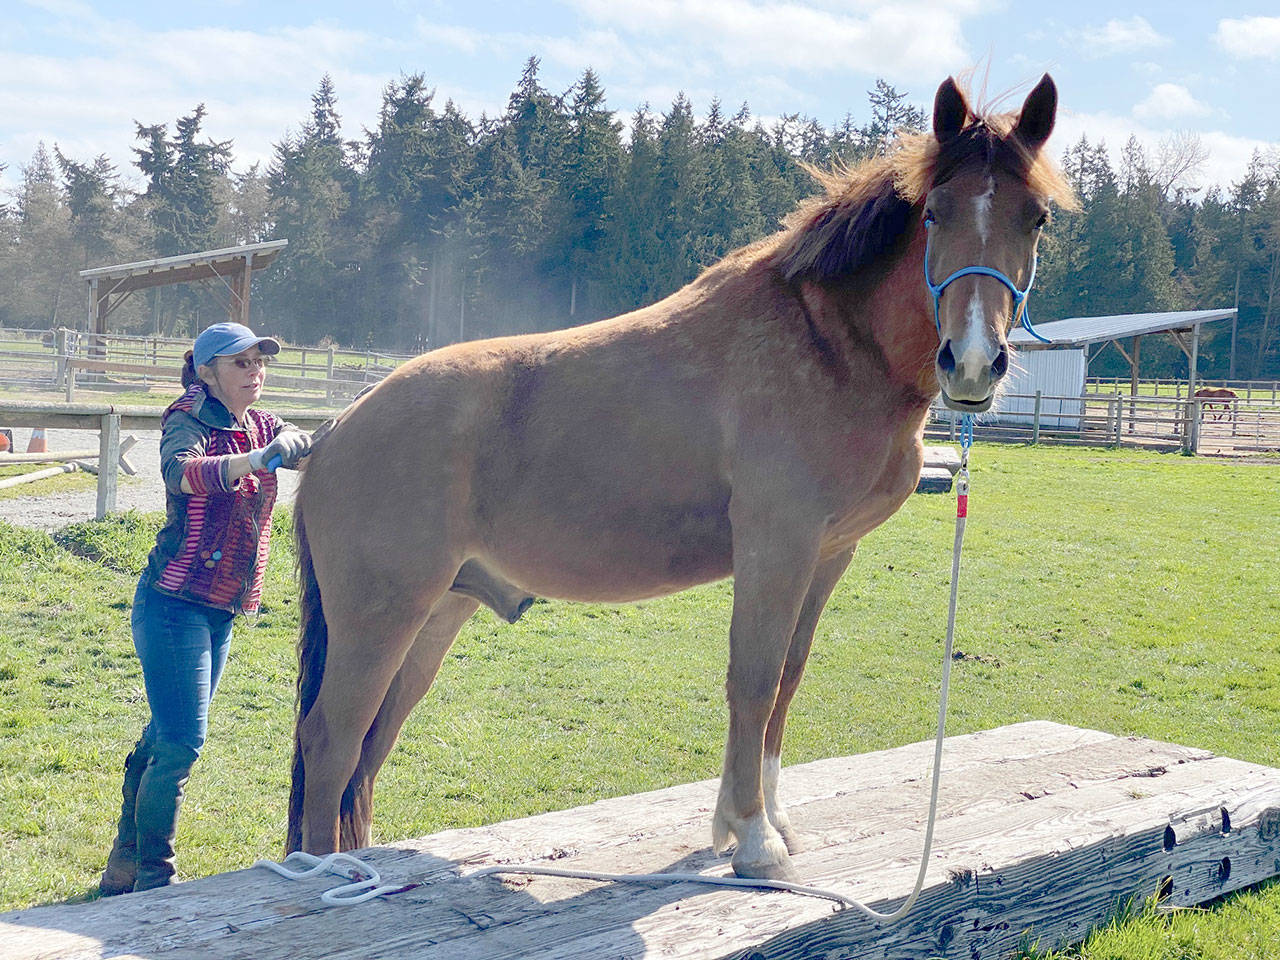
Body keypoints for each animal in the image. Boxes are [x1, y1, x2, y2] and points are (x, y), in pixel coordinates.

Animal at [286, 74, 1075, 882]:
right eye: (936, 212)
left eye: (1036, 218)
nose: (972, 364)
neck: (828, 346)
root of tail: (335, 431)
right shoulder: (776, 544)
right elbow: (753, 678)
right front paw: (753, 839)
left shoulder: (828, 553)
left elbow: (787, 679)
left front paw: (760, 820)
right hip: (382, 616)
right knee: (331, 739)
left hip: (438, 613)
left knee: (368, 749)